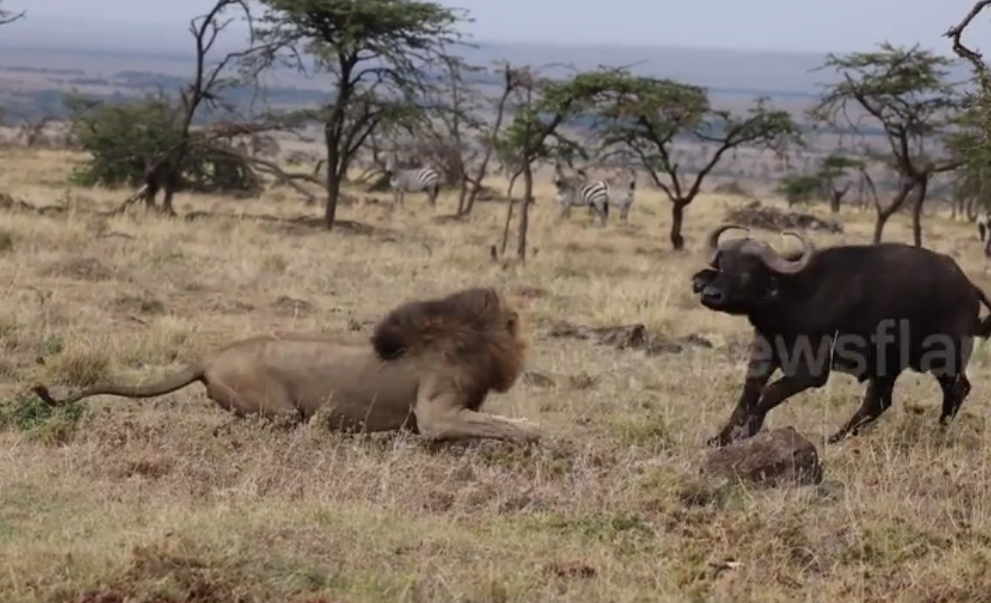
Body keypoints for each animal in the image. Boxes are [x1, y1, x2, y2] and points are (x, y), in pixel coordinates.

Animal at [33, 286, 544, 446]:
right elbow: (496, 424)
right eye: (516, 325)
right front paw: (533, 435)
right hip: (279, 412)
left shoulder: (430, 423)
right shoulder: (436, 413)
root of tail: (209, 357)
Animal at [688, 224, 991, 446]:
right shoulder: (765, 351)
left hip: (944, 359)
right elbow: (748, 395)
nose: (711, 294)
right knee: (877, 404)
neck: (794, 295)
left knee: (958, 390)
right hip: (888, 366)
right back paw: (834, 438)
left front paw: (747, 431)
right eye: (722, 266)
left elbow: (769, 393)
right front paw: (720, 437)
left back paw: (939, 431)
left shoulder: (811, 371)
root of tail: (969, 289)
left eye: (747, 273)